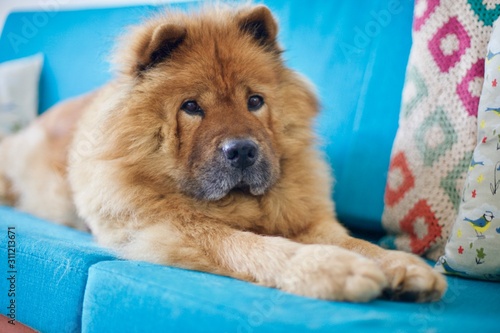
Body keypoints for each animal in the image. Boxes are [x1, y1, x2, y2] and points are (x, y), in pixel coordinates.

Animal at [0, 4, 446, 300]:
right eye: (191, 107)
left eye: (255, 101)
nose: (243, 151)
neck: (241, 204)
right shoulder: (172, 228)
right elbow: (251, 246)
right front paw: (334, 269)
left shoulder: (308, 219)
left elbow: (355, 241)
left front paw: (403, 264)